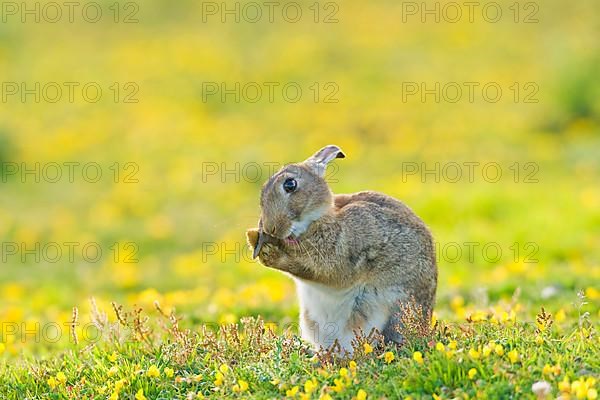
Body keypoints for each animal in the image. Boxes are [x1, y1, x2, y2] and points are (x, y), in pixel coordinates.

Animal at [246, 145, 438, 354]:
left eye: (290, 184)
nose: (270, 228)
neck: (316, 220)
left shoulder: (340, 256)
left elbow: (316, 270)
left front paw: (268, 252)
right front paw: (254, 237)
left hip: (380, 312)